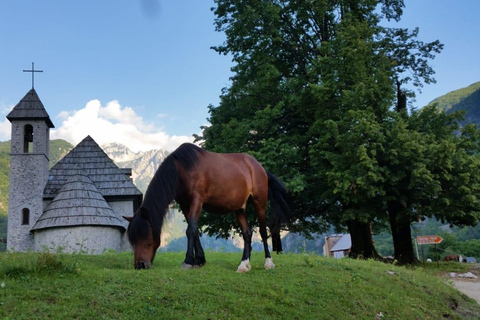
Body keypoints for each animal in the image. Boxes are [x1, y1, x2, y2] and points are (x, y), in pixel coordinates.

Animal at [123, 144, 292, 272]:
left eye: (147, 240)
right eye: (132, 241)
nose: (140, 265)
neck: (183, 168)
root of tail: (259, 168)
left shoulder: (197, 201)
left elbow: (190, 229)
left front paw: (188, 261)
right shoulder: (185, 204)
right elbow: (194, 230)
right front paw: (199, 260)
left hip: (259, 203)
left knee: (263, 231)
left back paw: (268, 263)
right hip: (240, 209)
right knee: (247, 233)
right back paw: (244, 264)